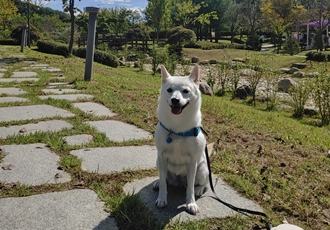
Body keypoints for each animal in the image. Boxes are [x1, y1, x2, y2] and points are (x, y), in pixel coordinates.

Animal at [154, 64, 209, 214]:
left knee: (204, 183)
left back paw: (199, 189)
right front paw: (162, 198)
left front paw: (191, 203)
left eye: (185, 91)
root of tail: (179, 182)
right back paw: (158, 182)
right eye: (169, 90)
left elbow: (190, 187)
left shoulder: (192, 162)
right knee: (165, 178)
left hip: (202, 170)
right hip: (158, 162)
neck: (177, 127)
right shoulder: (162, 157)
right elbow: (163, 183)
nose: (175, 100)